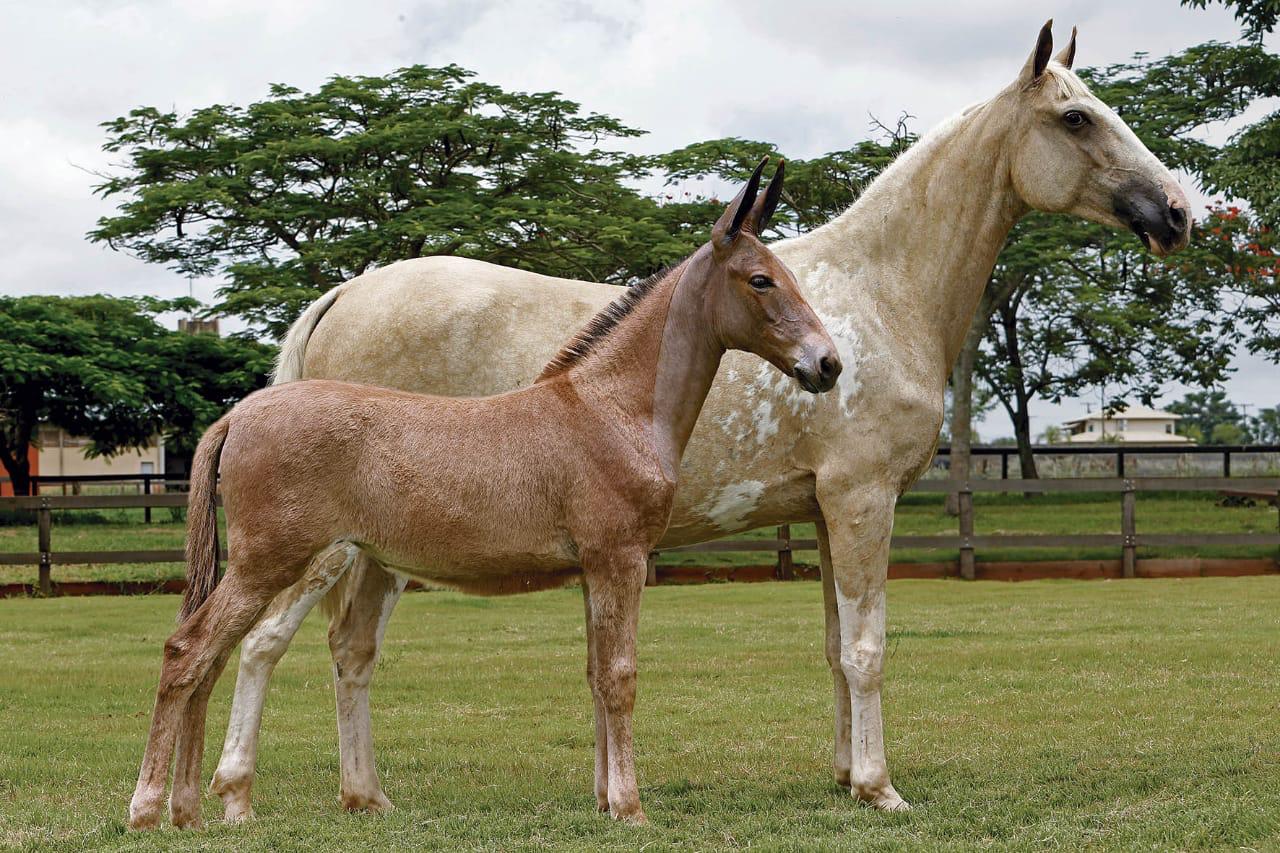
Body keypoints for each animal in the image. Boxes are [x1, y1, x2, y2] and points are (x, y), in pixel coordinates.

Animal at [207, 21, 1187, 819]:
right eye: (1077, 118)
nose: (1177, 212)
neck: (876, 289)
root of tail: (342, 294)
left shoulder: (823, 512)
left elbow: (834, 646)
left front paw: (844, 776)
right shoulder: (863, 500)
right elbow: (868, 648)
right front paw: (880, 786)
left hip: (377, 554)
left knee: (350, 652)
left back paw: (364, 795)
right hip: (319, 549)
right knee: (259, 645)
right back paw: (232, 794)